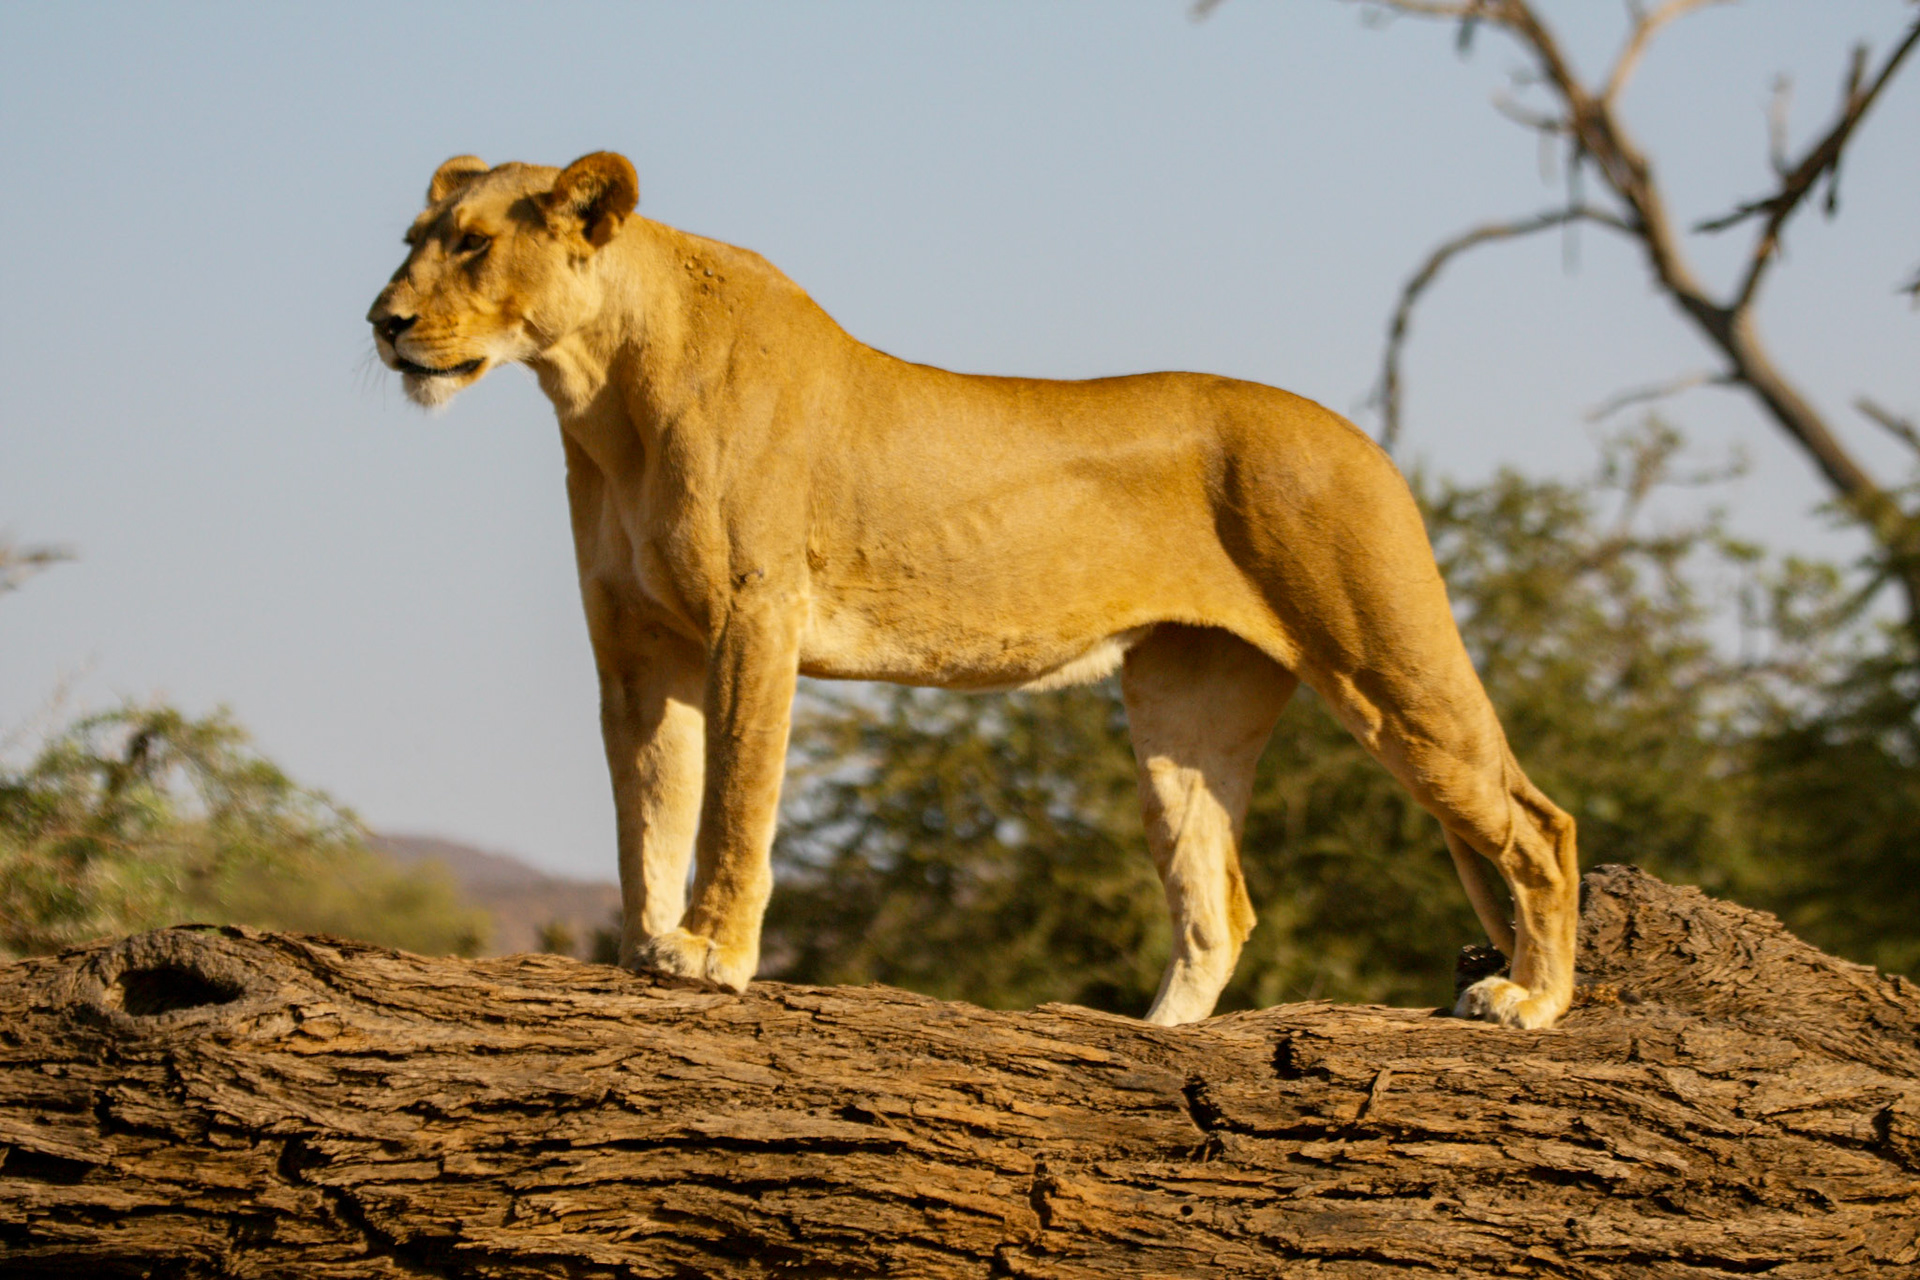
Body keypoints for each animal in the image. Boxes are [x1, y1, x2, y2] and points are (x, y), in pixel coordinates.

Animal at [368, 151, 1579, 1028]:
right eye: (411, 244)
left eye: (472, 245)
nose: (381, 320)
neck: (600, 394)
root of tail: (1364, 440)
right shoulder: (632, 642)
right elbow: (648, 810)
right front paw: (641, 949)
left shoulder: (754, 617)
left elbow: (734, 802)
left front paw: (710, 953)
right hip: (1185, 706)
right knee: (1217, 908)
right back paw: (1152, 1039)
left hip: (1383, 659)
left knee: (1538, 821)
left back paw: (1530, 998)